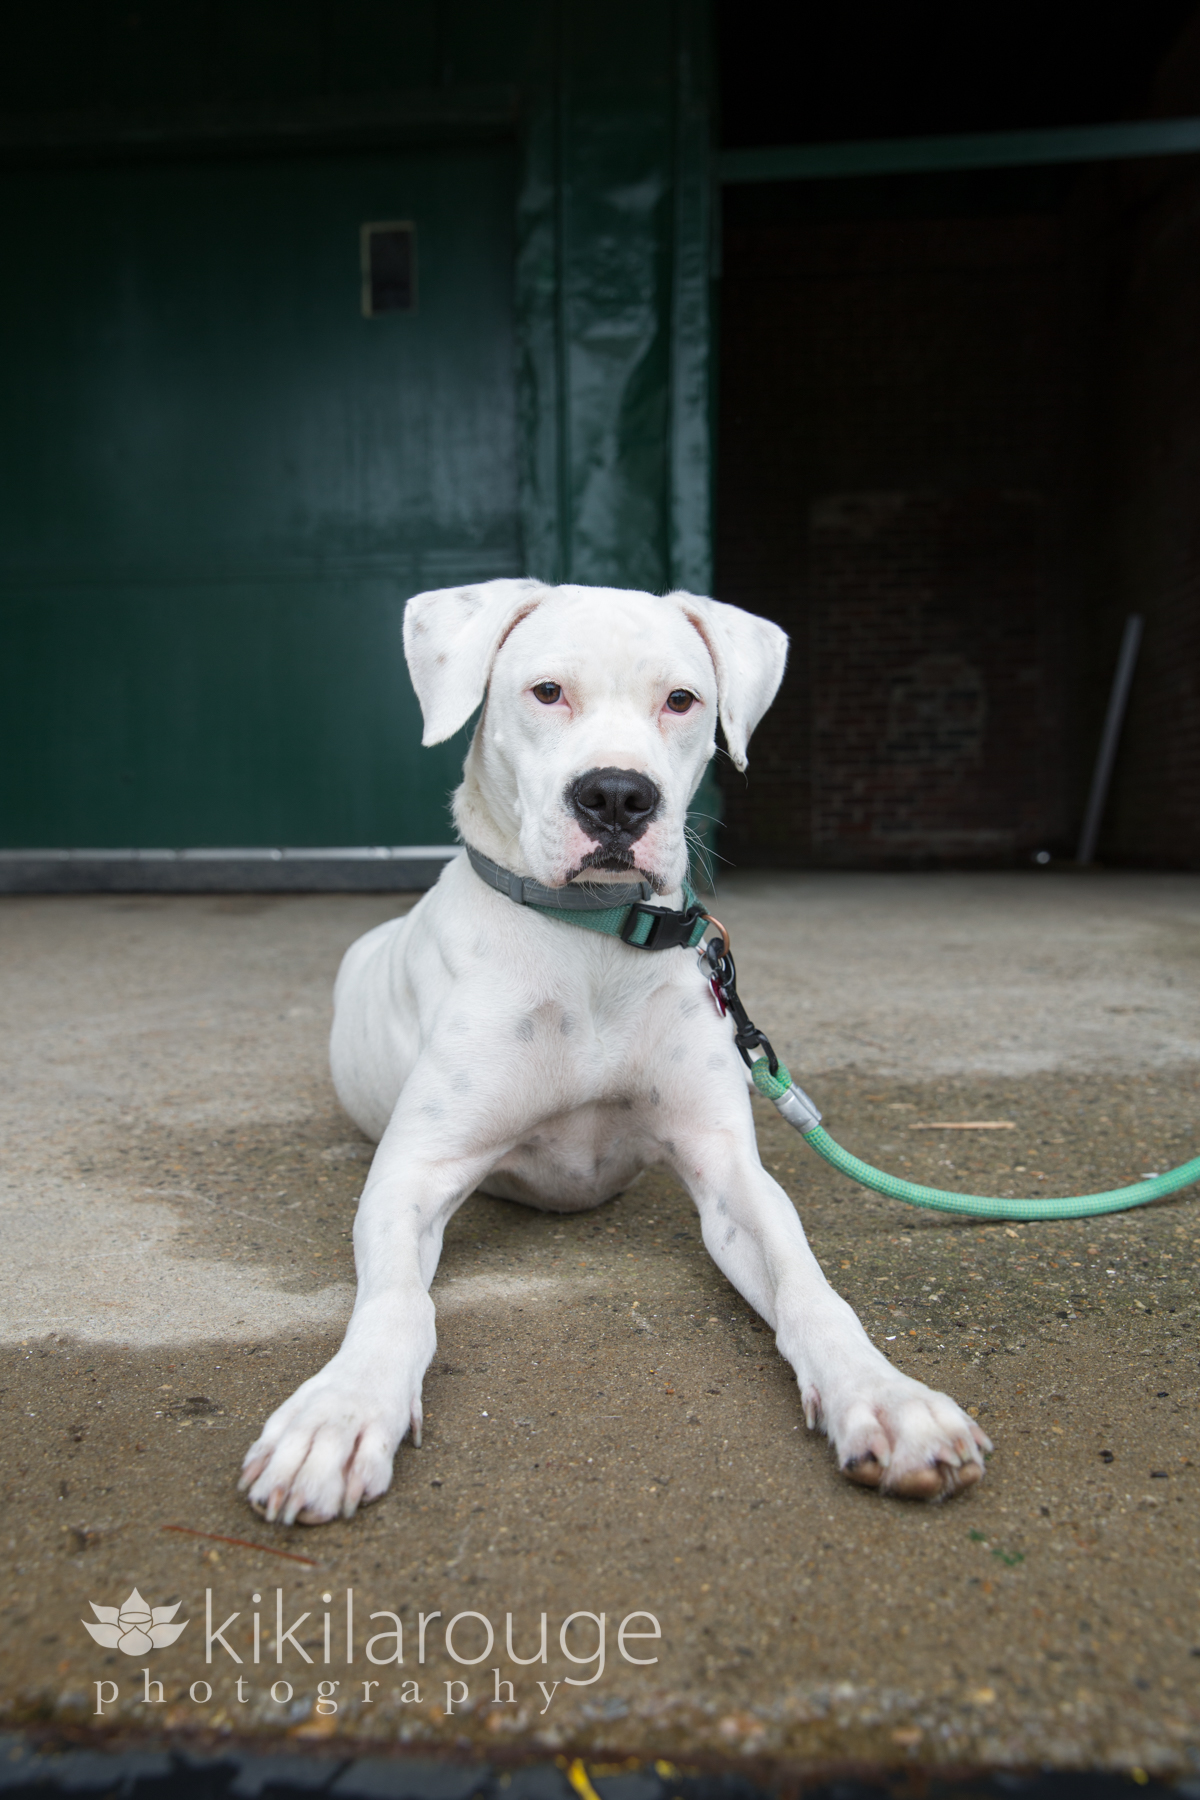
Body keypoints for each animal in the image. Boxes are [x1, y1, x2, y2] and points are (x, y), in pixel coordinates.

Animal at [239, 583, 993, 1526]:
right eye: (546, 691)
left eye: (682, 700)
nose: (618, 796)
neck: (593, 940)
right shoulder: (414, 1173)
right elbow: (396, 1302)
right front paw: (340, 1411)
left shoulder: (730, 1172)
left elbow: (808, 1285)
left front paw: (888, 1397)